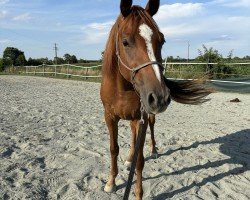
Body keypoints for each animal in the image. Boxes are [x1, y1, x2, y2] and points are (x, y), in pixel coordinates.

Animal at [99, 0, 211, 199]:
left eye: (162, 40)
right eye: (125, 42)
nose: (160, 97)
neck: (122, 89)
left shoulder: (141, 117)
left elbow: (140, 160)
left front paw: (138, 193)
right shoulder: (110, 117)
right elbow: (113, 149)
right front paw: (111, 182)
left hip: (146, 116)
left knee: (150, 127)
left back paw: (153, 150)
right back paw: (129, 157)